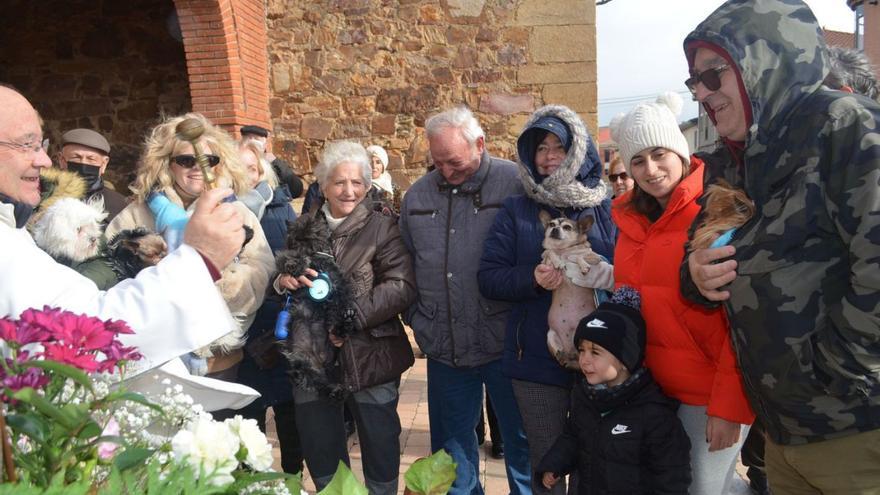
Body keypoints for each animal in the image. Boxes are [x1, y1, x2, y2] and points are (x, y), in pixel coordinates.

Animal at [276, 215, 358, 402]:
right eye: (295, 240)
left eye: (313, 236)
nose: (306, 250)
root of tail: (319, 358)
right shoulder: (287, 258)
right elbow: (285, 259)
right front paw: (295, 264)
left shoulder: (337, 282)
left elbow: (341, 297)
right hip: (304, 363)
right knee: (317, 382)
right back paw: (335, 390)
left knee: (336, 329)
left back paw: (346, 322)